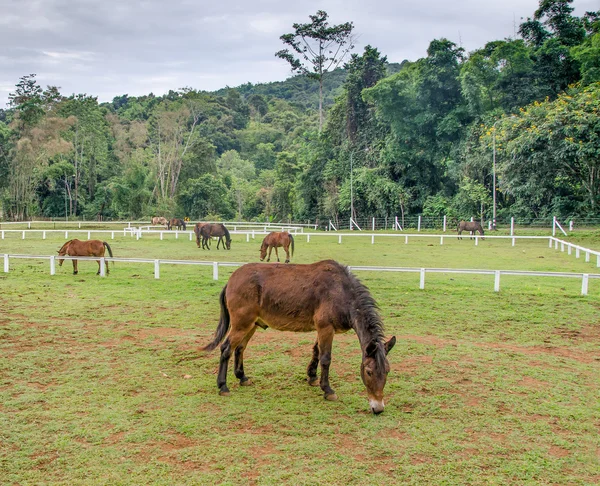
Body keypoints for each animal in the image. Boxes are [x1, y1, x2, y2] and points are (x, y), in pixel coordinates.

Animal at [204, 260, 396, 416]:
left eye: (387, 371)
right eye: (369, 372)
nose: (378, 408)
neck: (341, 292)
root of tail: (231, 280)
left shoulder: (322, 329)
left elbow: (316, 352)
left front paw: (312, 377)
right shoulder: (326, 328)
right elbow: (326, 358)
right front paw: (327, 390)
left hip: (251, 325)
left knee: (239, 348)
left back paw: (242, 377)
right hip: (241, 324)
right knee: (226, 349)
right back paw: (223, 386)